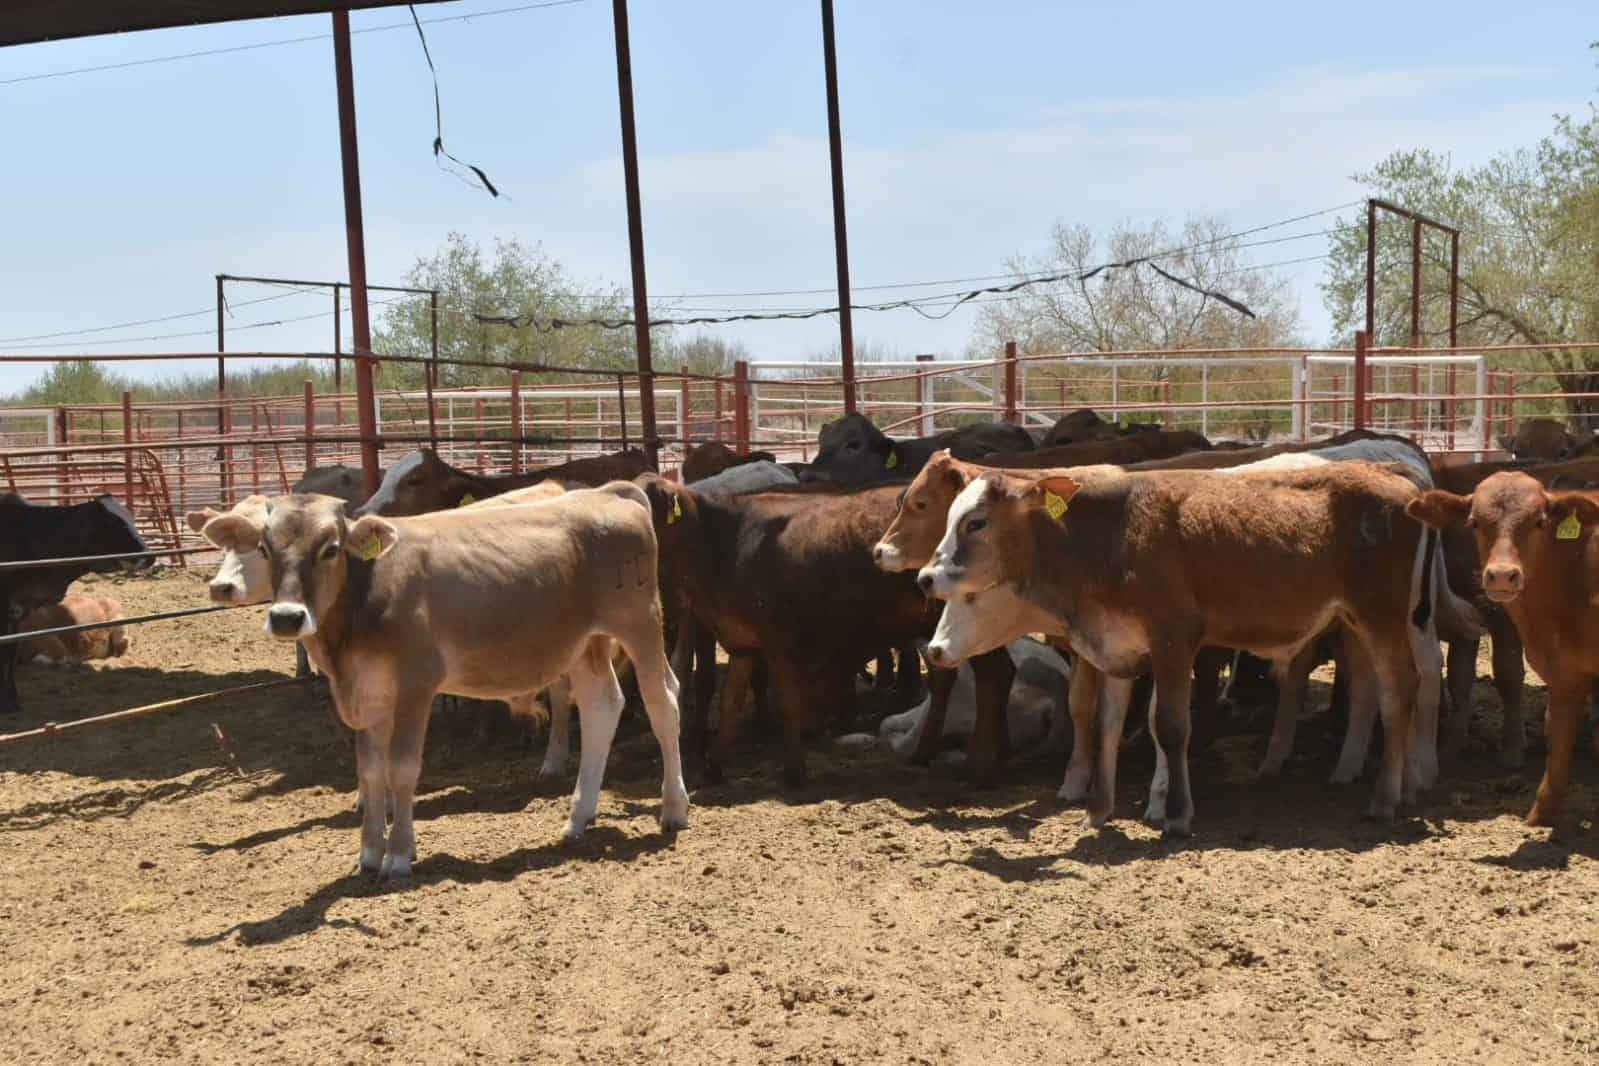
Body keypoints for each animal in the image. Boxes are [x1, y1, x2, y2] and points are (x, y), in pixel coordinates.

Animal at [199, 482, 687, 875]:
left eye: (330, 549)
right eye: (265, 548)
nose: (287, 618)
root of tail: (608, 493)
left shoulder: (416, 685)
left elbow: (401, 769)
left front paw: (398, 856)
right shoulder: (367, 692)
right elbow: (370, 770)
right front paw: (369, 853)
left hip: (640, 624)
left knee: (663, 702)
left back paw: (673, 808)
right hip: (585, 643)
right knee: (600, 706)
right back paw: (579, 817)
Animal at [633, 479, 1016, 789]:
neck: (725, 541)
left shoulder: (779, 639)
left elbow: (788, 701)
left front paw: (794, 773)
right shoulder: (742, 643)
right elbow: (729, 702)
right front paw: (713, 767)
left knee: (994, 675)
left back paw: (981, 769)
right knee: (962, 677)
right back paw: (940, 754)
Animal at [1413, 469, 1599, 831]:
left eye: (1540, 521)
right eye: (1473, 522)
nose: (1501, 576)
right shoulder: (1565, 671)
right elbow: (1558, 733)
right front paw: (1541, 815)